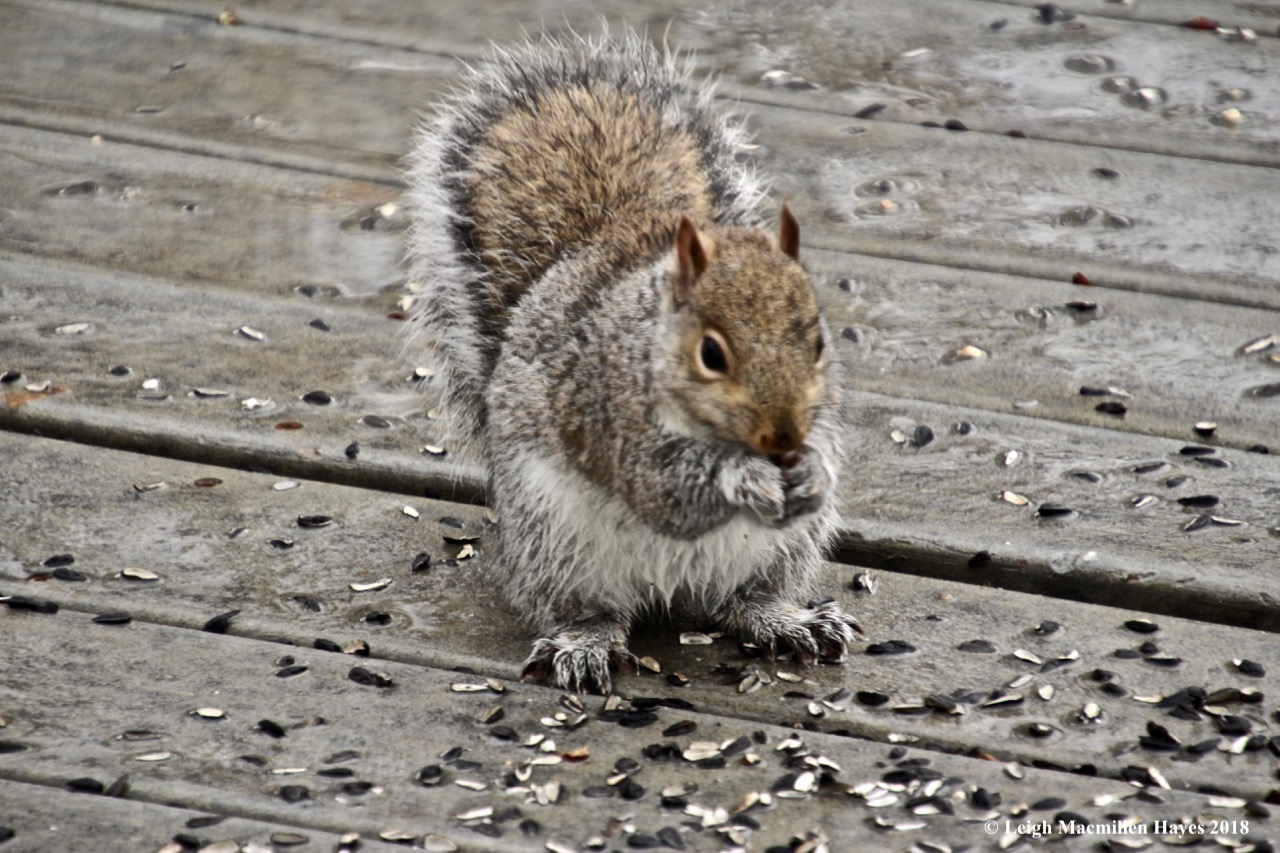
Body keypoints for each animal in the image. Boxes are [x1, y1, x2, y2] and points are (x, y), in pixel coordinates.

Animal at [404, 30, 860, 693]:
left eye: (820, 344)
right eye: (711, 353)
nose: (782, 440)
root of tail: (670, 589)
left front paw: (812, 471)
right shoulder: (606, 414)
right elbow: (664, 483)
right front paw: (741, 477)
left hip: (782, 549)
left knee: (744, 599)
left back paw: (788, 619)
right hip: (555, 542)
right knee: (585, 607)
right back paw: (586, 642)